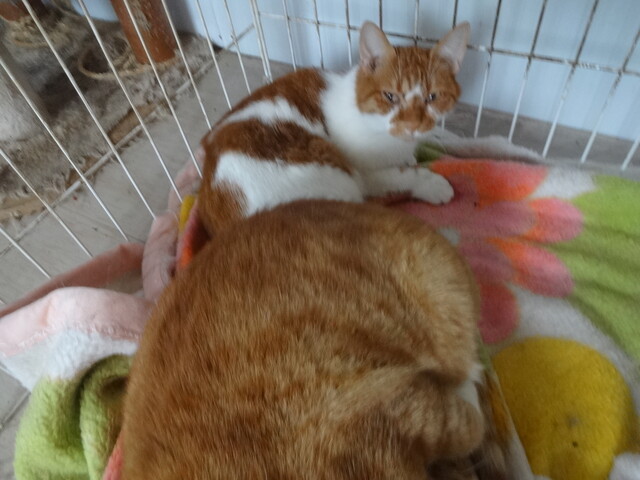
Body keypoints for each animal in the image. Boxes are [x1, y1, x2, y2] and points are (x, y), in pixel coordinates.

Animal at [197, 20, 470, 236]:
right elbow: (400, 175)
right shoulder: (363, 172)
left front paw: (410, 158)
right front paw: (431, 183)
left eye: (433, 97)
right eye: (390, 96)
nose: (413, 125)